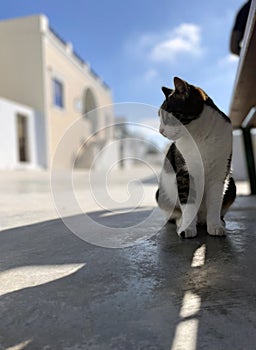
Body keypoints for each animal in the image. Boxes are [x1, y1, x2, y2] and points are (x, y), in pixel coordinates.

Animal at [156, 76, 236, 238]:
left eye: (168, 116)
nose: (160, 131)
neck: (199, 135)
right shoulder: (184, 174)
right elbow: (189, 204)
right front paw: (186, 229)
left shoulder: (220, 174)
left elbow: (215, 203)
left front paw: (215, 226)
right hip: (160, 193)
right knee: (174, 214)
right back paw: (181, 222)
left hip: (232, 184)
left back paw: (217, 221)